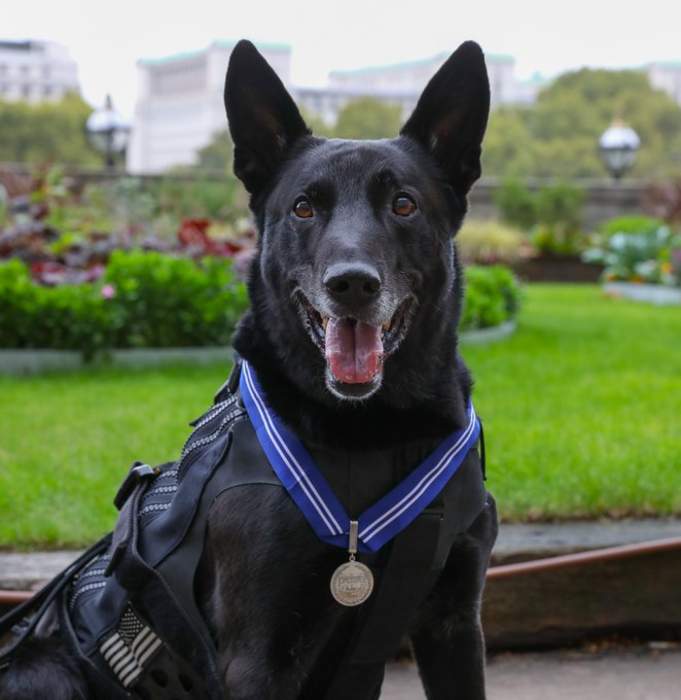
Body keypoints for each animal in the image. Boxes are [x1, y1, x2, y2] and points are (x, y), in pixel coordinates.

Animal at [1, 42, 500, 700]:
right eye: (304, 207)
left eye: (404, 204)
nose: (352, 284)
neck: (375, 434)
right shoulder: (258, 656)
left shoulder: (454, 623)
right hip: (46, 672)